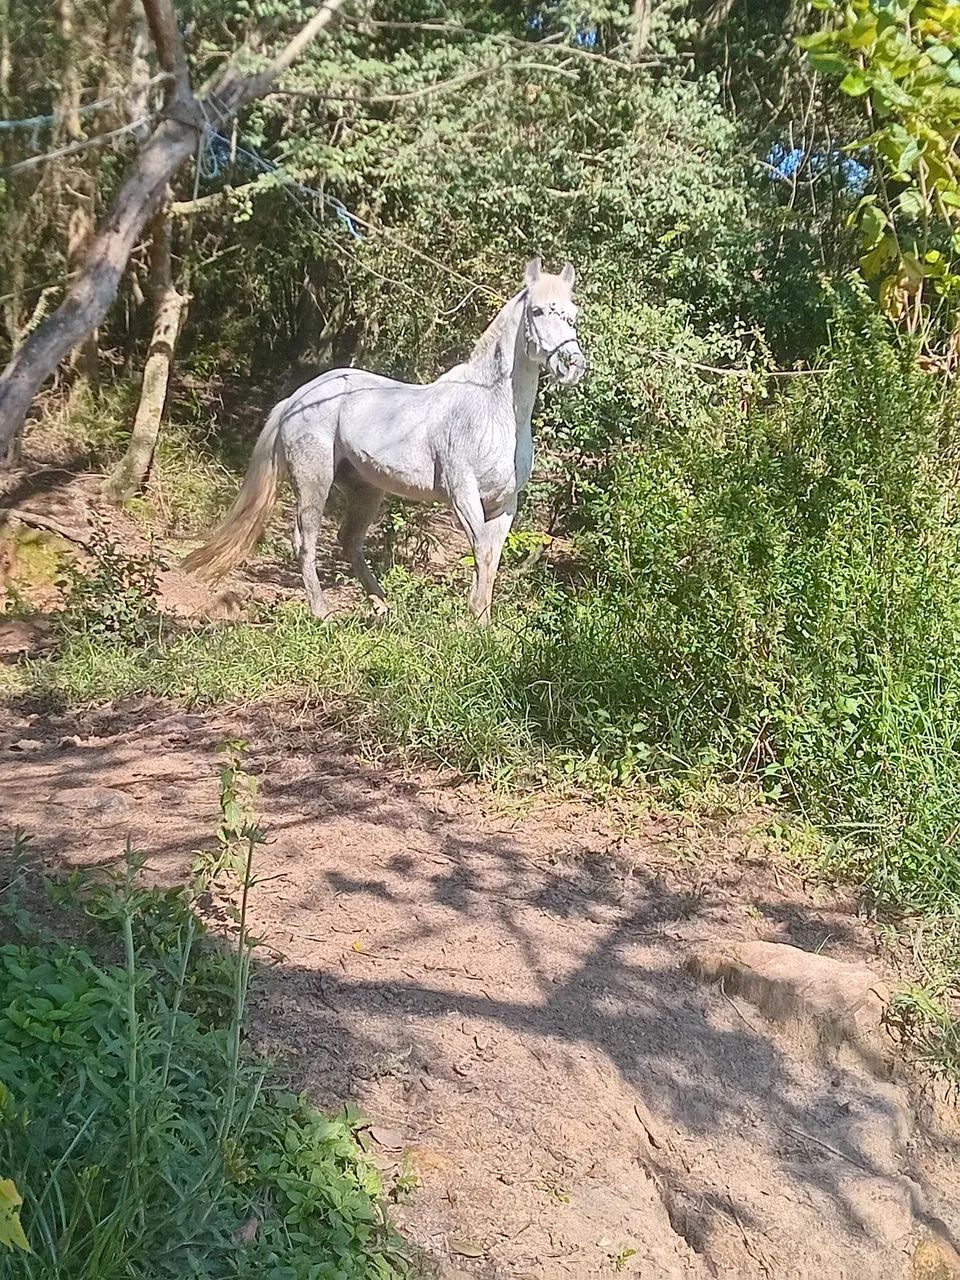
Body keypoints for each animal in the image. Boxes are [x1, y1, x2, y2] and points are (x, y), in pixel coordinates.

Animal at [181, 258, 586, 622]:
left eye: (572, 315)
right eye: (537, 311)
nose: (573, 364)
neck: (492, 409)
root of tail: (298, 397)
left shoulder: (505, 503)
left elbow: (490, 558)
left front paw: (481, 624)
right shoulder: (463, 494)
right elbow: (482, 551)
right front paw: (475, 622)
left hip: (366, 489)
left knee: (348, 541)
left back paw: (384, 609)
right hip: (315, 480)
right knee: (305, 541)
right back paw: (323, 613)